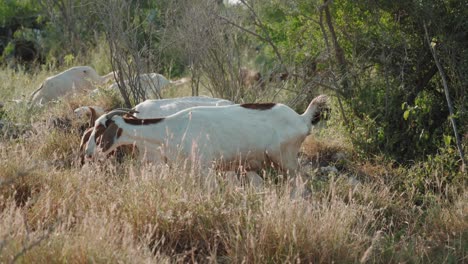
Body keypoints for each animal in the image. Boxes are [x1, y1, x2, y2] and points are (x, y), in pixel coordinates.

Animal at [81, 95, 330, 175]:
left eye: (100, 130)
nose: (87, 154)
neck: (172, 128)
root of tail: (302, 118)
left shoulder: (206, 167)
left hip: (285, 159)